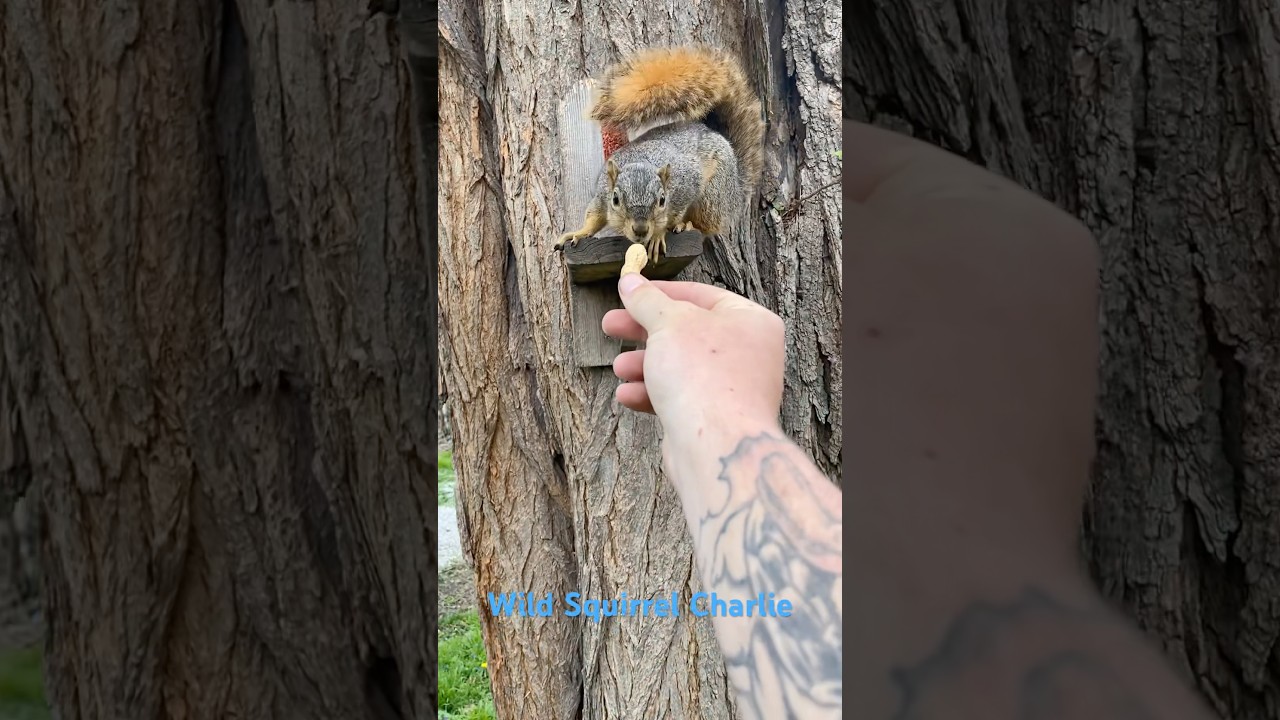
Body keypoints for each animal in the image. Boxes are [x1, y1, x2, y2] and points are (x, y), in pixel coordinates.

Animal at [555, 45, 765, 264]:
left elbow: (672, 215)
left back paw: (688, 225)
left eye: (662, 200)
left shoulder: (686, 185)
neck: (641, 161)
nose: (640, 230)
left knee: (706, 225)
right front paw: (579, 232)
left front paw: (657, 234)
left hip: (714, 192)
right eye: (615, 200)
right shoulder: (603, 192)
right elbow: (594, 215)